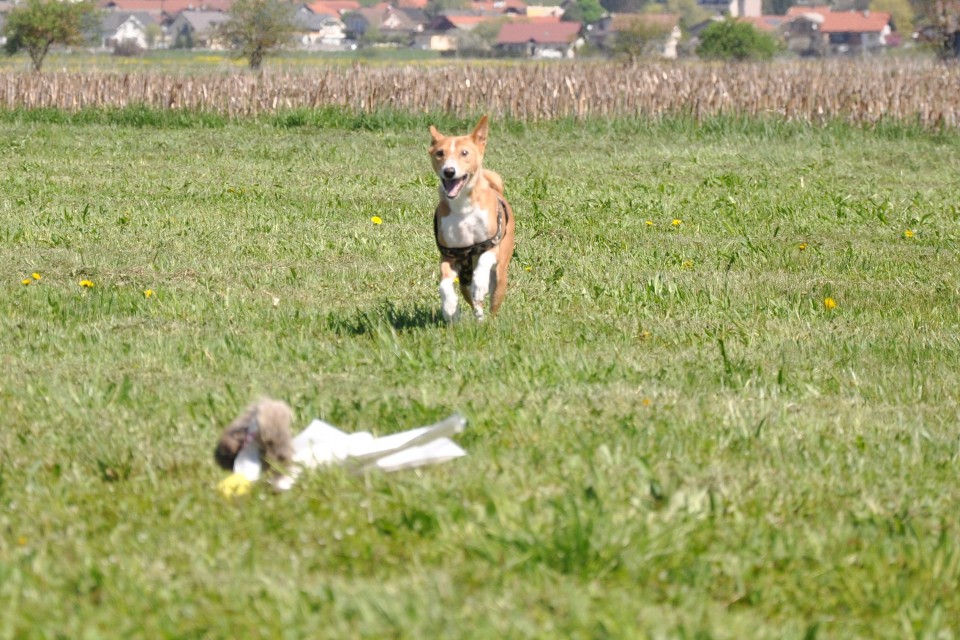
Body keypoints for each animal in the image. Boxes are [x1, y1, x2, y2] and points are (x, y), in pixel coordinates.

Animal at [430, 115, 512, 322]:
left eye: (464, 153)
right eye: (440, 153)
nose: (449, 171)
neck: (463, 209)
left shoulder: (491, 246)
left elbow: (483, 265)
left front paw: (480, 285)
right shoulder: (449, 255)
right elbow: (444, 284)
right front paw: (450, 307)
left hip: (500, 275)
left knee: (492, 301)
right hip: (464, 281)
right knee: (474, 302)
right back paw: (479, 318)